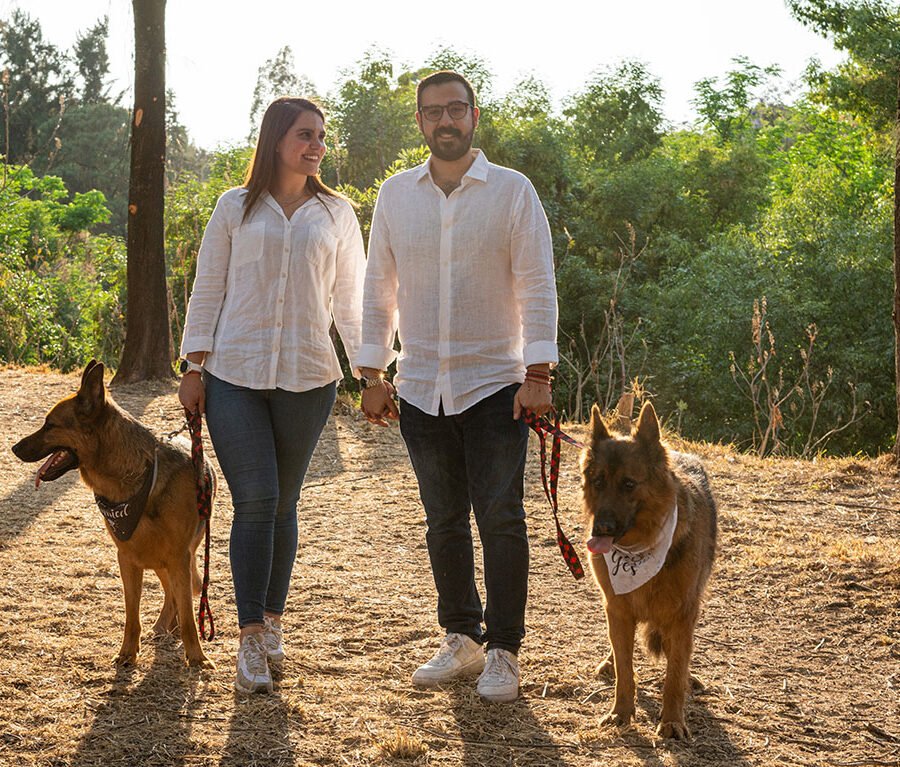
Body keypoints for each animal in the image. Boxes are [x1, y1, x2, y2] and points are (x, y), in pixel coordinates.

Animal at [11, 364, 214, 668]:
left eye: (50, 425)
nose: (14, 448)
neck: (137, 477)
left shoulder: (177, 556)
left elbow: (190, 616)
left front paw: (197, 657)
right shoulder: (128, 558)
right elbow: (132, 614)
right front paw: (128, 652)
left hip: (175, 556)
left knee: (183, 592)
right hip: (158, 558)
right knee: (171, 592)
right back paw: (165, 625)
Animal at [580, 402, 720, 736]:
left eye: (629, 484)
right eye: (598, 482)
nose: (600, 529)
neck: (640, 548)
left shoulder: (683, 614)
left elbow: (674, 674)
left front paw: (672, 721)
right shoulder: (617, 608)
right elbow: (625, 669)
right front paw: (621, 712)